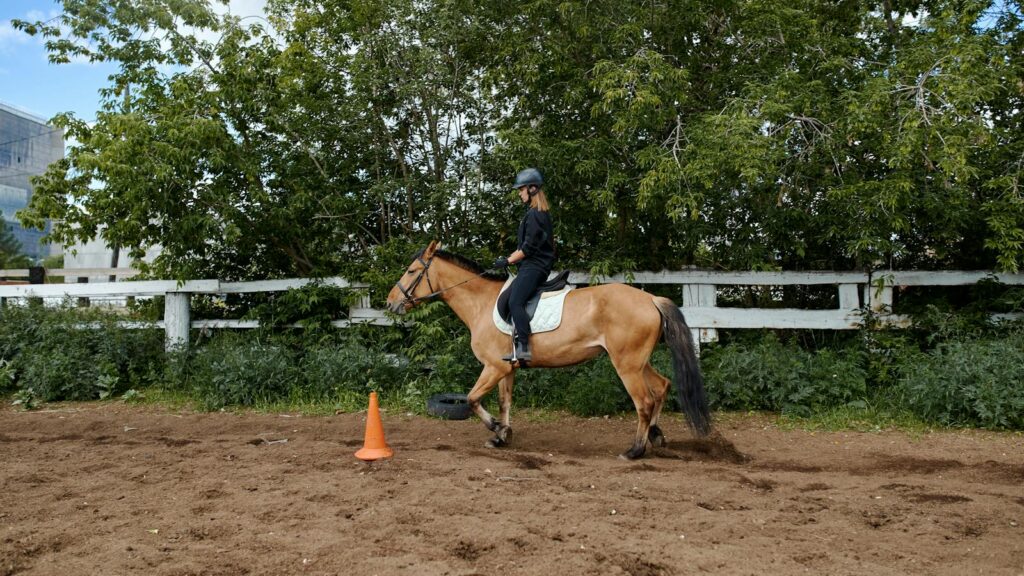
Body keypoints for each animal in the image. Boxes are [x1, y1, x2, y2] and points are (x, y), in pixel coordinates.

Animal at [386, 240, 712, 459]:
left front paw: (496, 429)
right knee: (662, 387)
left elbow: (472, 399)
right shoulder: (506, 368)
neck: (480, 302)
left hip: (627, 365)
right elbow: (504, 402)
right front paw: (502, 436)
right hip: (638, 362)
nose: (391, 303)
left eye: (411, 271)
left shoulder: (493, 367)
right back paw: (656, 435)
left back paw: (634, 450)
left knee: (644, 401)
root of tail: (651, 299)